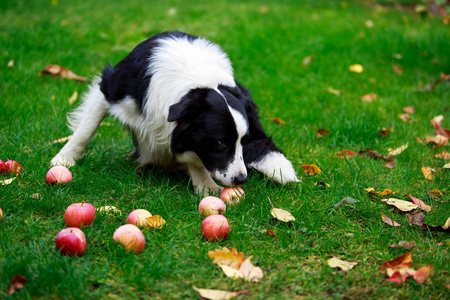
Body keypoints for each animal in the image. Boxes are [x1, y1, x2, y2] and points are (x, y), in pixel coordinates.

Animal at [51, 30, 298, 195]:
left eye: (244, 141)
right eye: (221, 142)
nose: (241, 179)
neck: (199, 80)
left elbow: (195, 157)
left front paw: (208, 187)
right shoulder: (111, 87)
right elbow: (86, 128)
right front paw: (64, 159)